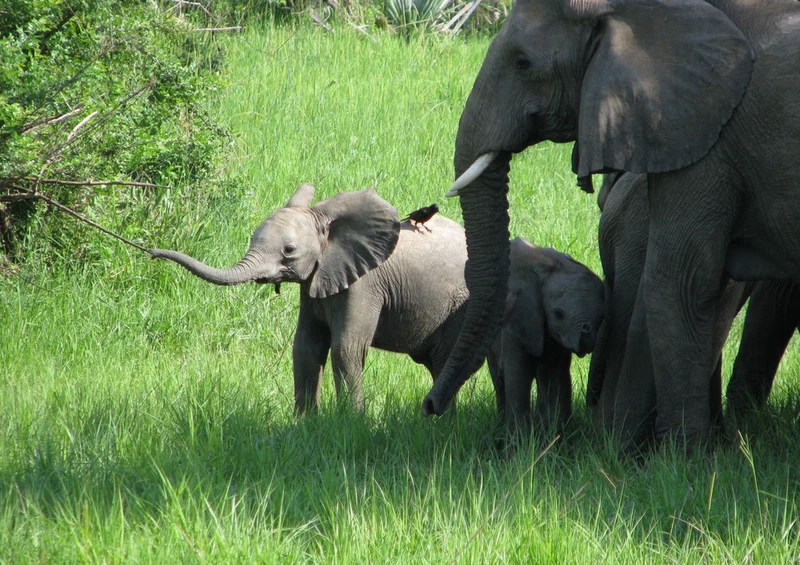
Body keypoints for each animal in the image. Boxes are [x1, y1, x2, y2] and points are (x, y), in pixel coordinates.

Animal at [149, 184, 473, 413]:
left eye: (289, 250)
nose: (151, 252)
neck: (326, 222)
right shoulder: (314, 283)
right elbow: (306, 346)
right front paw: (305, 423)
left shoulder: (365, 284)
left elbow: (346, 349)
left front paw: (352, 422)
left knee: (445, 361)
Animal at [488, 237, 604, 439]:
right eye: (558, 314)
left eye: (601, 316)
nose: (586, 335)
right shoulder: (517, 319)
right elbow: (518, 377)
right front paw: (520, 445)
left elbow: (555, 379)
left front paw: (554, 441)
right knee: (500, 379)